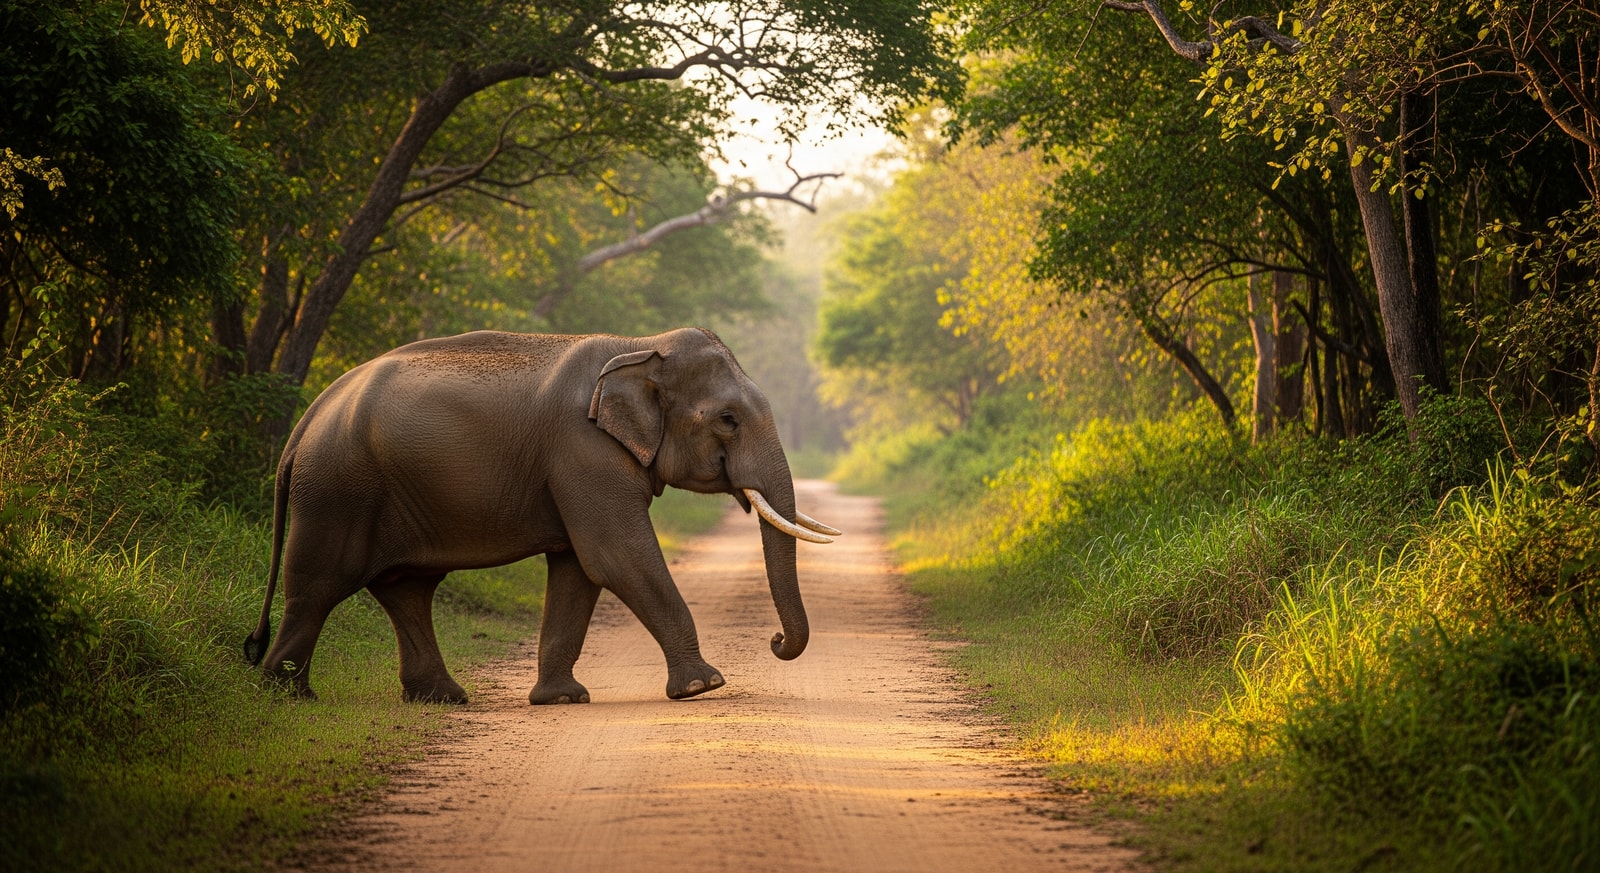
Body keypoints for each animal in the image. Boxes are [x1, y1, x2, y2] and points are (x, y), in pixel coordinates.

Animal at [242, 327, 841, 704]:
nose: (774, 642)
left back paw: (442, 699)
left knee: (407, 590)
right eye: (727, 419)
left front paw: (562, 700)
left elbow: (579, 569)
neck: (640, 348)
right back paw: (290, 697)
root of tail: (309, 415)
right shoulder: (582, 450)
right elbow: (615, 557)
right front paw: (703, 688)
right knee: (319, 585)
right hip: (337, 490)